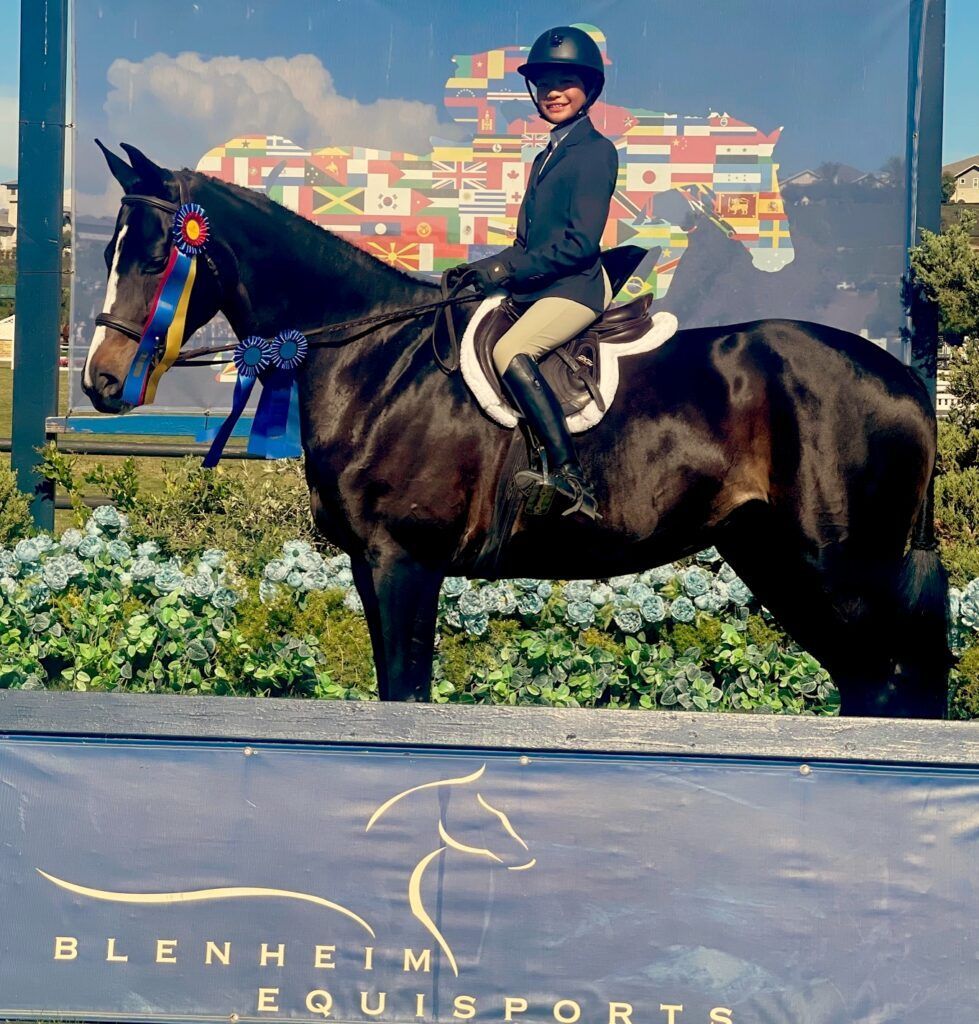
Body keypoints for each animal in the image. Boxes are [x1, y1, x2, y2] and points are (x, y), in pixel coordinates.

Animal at [82, 144, 950, 716]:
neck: (374, 358)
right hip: (775, 558)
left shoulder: (404, 561)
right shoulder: (370, 564)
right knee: (868, 680)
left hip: (842, 568)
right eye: (110, 252)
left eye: (157, 255)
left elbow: (406, 692)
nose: (100, 382)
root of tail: (903, 378)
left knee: (887, 678)